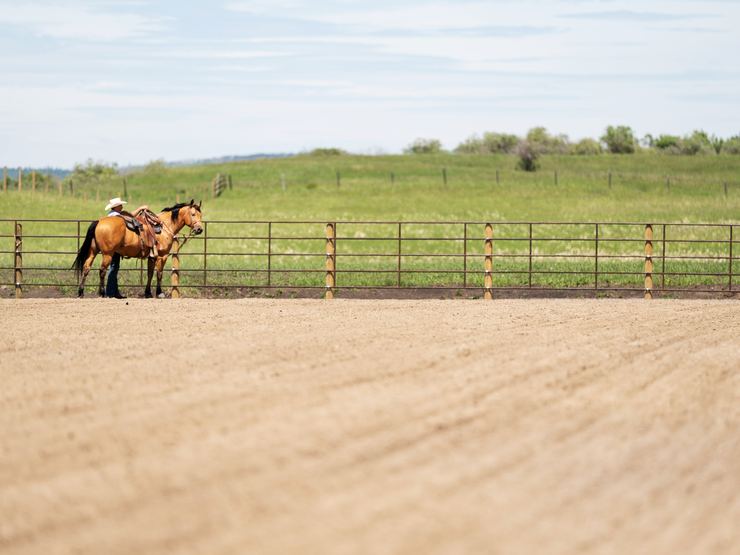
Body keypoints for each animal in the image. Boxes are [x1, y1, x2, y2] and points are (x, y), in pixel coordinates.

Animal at [72, 200, 203, 298]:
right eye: (193, 214)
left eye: (200, 215)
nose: (199, 229)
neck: (164, 226)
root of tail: (99, 222)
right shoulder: (162, 256)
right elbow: (159, 274)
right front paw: (159, 293)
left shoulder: (152, 257)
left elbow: (150, 273)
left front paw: (148, 293)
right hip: (107, 254)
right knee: (102, 270)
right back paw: (102, 293)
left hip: (93, 251)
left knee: (86, 268)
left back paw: (81, 292)